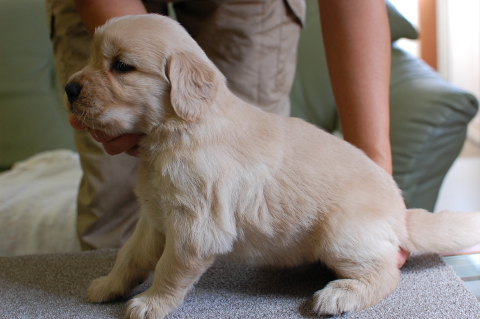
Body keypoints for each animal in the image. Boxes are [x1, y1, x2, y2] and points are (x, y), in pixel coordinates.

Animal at [65, 13, 480, 318]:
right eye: (92, 58)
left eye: (122, 66)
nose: (69, 88)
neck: (180, 129)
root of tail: (402, 216)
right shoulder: (155, 216)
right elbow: (130, 255)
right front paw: (109, 285)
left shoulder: (195, 225)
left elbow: (170, 267)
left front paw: (152, 302)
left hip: (340, 234)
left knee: (387, 273)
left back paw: (340, 295)